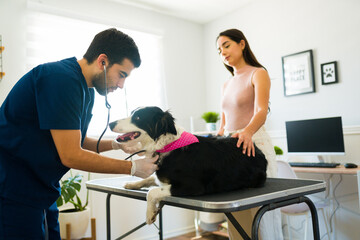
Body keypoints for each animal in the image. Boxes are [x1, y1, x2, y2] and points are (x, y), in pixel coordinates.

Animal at [109, 106, 268, 224]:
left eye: (137, 118)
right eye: (132, 114)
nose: (110, 124)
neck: (166, 145)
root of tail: (257, 150)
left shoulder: (191, 186)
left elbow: (152, 192)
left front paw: (149, 214)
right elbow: (150, 179)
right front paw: (131, 184)